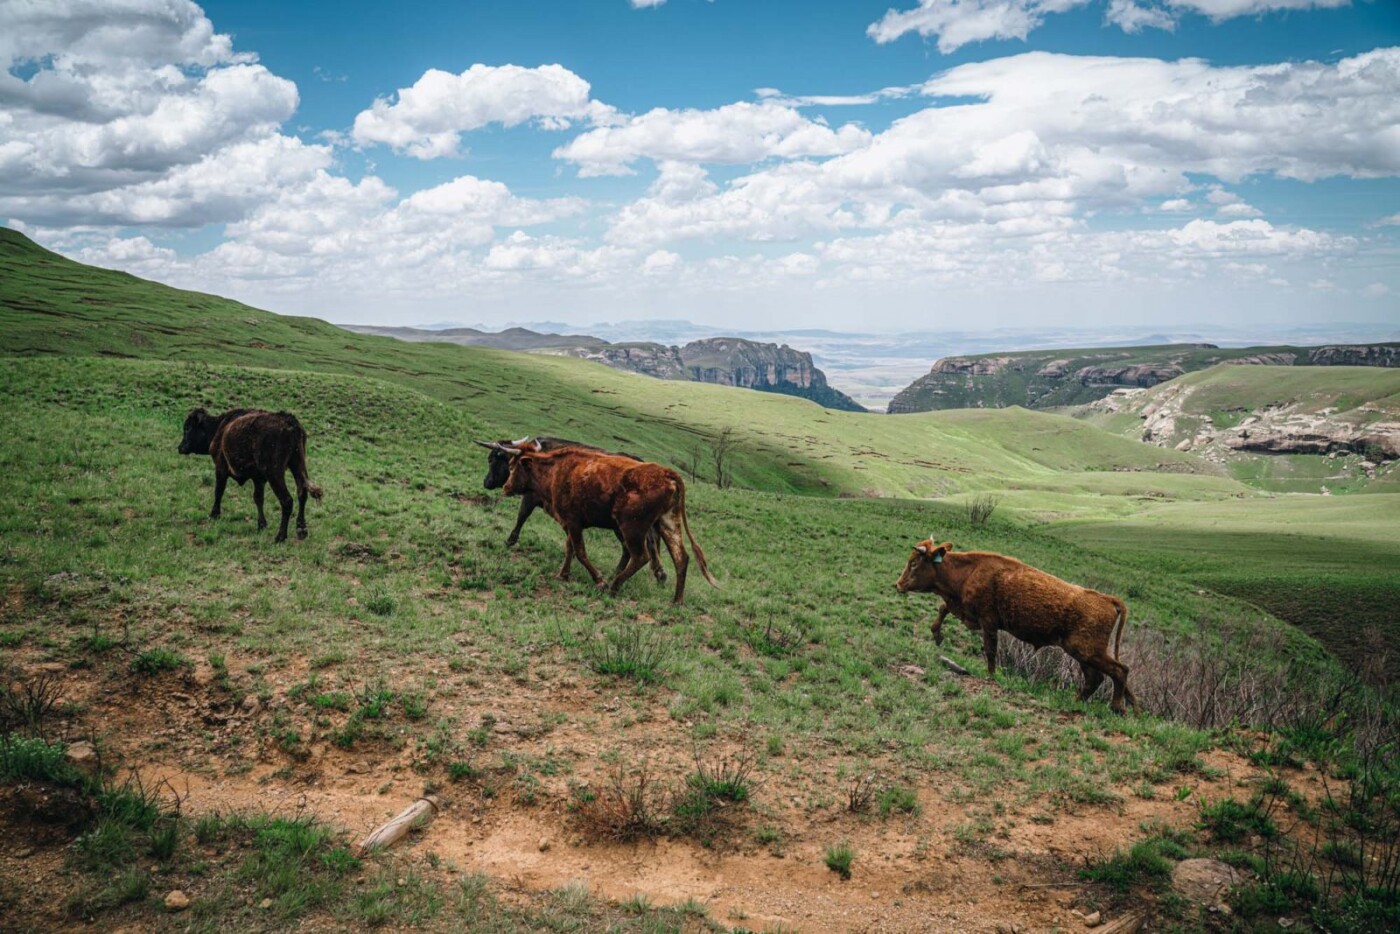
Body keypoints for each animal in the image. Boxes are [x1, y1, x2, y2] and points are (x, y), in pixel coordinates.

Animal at [177, 406, 322, 543]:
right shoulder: (258, 479)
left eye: (187, 428)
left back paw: (280, 537)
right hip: (297, 466)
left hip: (275, 474)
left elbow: (218, 492)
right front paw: (261, 525)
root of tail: (289, 421)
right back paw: (301, 530)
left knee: (287, 500)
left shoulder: (220, 468)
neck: (219, 427)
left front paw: (214, 515)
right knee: (302, 493)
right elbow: (258, 498)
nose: (180, 447)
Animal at [492, 445, 716, 607]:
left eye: (512, 466)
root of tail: (666, 473)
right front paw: (563, 574)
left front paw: (599, 580)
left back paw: (614, 586)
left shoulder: (573, 522)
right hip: (667, 523)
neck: (556, 471)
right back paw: (677, 601)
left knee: (640, 556)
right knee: (681, 558)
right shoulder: (570, 524)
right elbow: (570, 548)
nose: (506, 487)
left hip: (631, 527)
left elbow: (580, 552)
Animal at [896, 540, 1136, 716]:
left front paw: (990, 675)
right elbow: (942, 608)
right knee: (1096, 678)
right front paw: (937, 635)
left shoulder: (988, 622)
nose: (897, 585)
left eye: (914, 563)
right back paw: (1076, 702)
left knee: (1119, 670)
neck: (970, 570)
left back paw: (1116, 708)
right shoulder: (966, 611)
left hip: (1086, 651)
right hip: (1081, 654)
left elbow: (990, 650)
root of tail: (1106, 599)